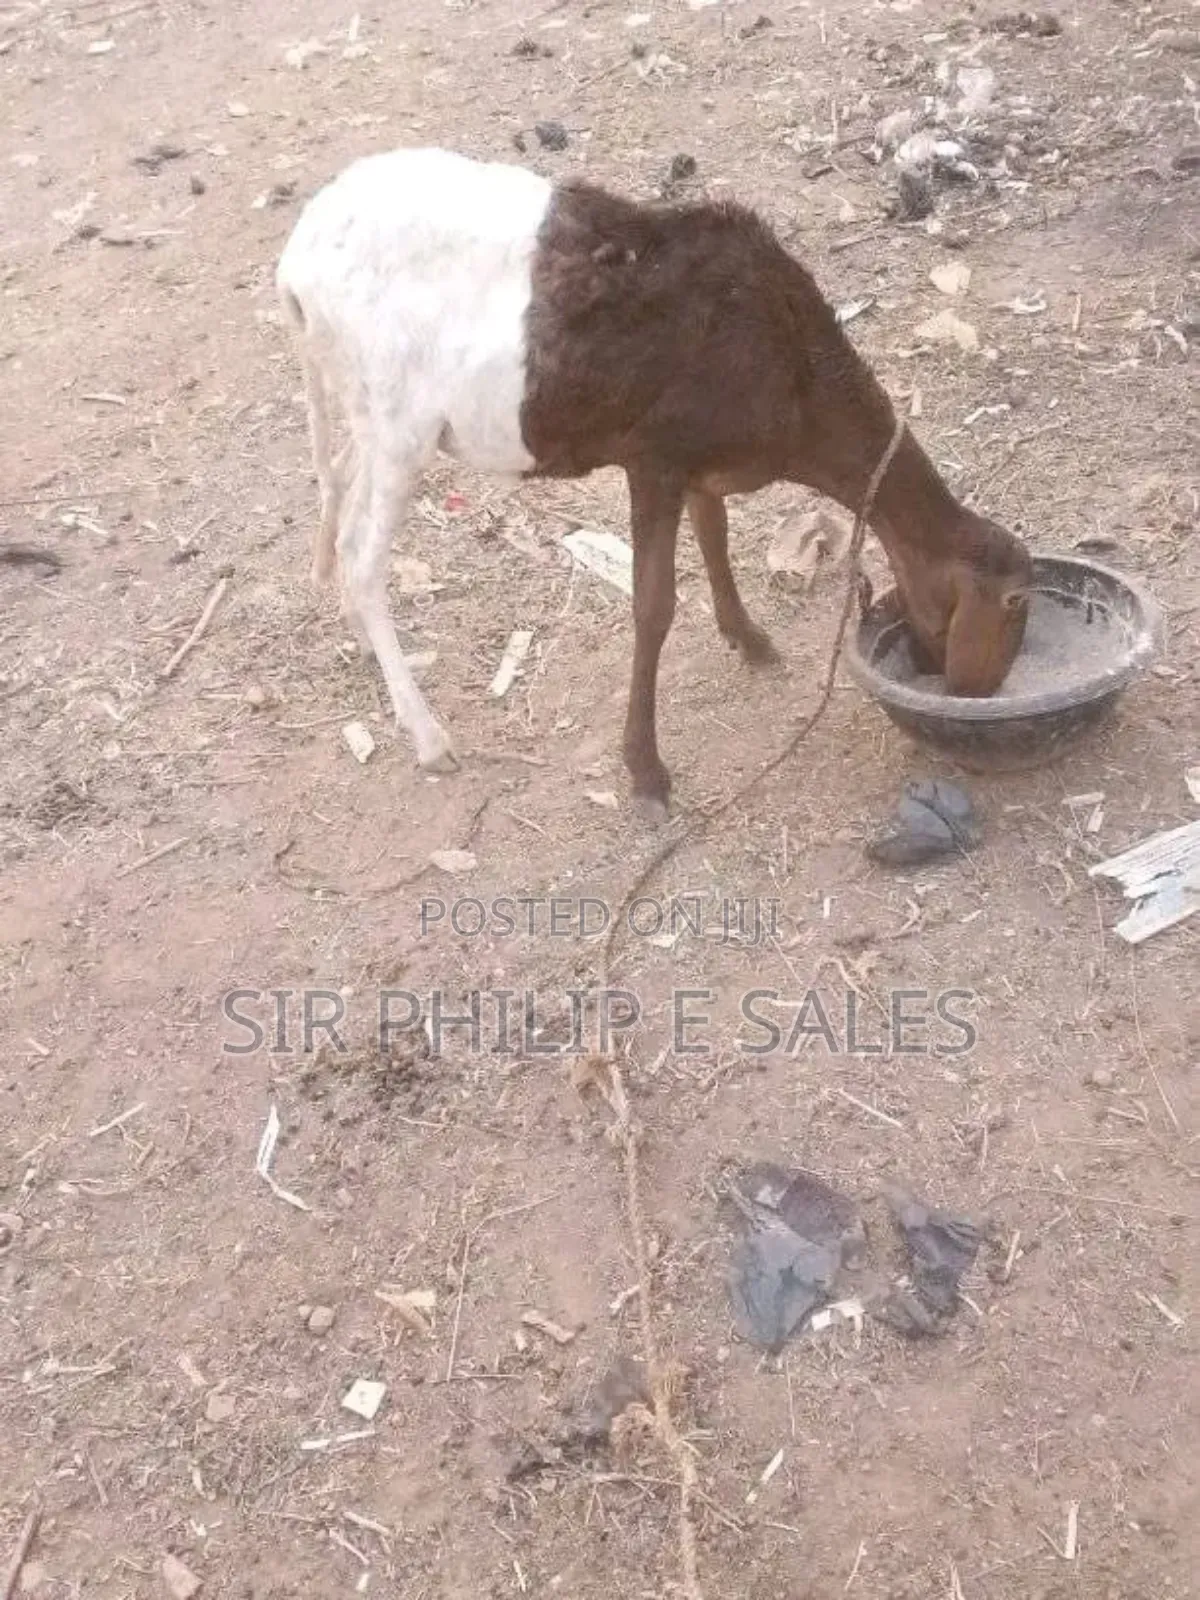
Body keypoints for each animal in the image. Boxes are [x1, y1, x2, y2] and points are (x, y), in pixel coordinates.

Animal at [277, 146, 1032, 819]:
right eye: (1014, 604)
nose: (978, 689)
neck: (791, 367)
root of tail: (296, 263)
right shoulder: (654, 461)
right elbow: (654, 606)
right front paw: (645, 772)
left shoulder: (697, 465)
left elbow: (715, 535)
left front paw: (750, 640)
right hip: (397, 424)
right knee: (362, 557)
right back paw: (429, 735)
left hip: (367, 416)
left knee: (341, 500)